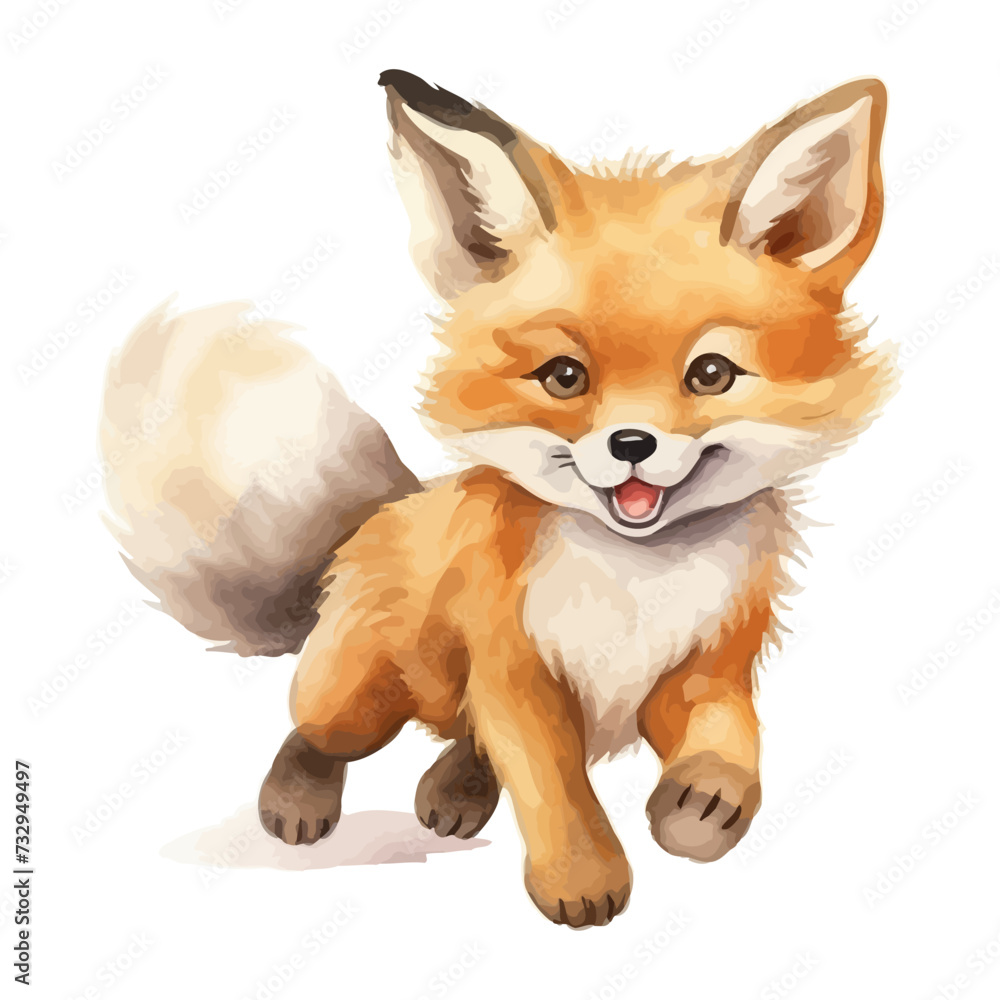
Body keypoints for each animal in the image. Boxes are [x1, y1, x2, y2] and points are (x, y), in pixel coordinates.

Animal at [101, 70, 895, 927]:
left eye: (711, 374)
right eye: (564, 377)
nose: (632, 444)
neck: (637, 581)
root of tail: (371, 526)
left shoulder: (705, 664)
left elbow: (729, 736)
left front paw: (704, 803)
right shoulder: (515, 673)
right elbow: (554, 788)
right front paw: (579, 877)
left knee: (462, 743)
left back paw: (453, 789)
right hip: (357, 694)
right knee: (315, 732)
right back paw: (301, 797)